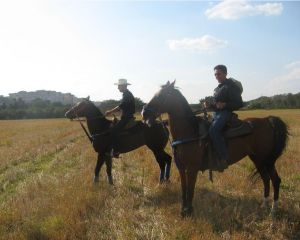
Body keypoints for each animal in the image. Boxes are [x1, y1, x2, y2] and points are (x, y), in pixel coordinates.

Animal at [142, 80, 288, 218]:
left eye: (162, 95)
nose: (144, 112)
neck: (190, 132)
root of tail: (268, 120)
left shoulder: (192, 168)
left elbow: (191, 190)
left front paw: (189, 212)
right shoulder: (181, 167)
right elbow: (184, 189)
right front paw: (183, 212)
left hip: (267, 160)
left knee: (275, 180)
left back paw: (273, 211)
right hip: (257, 159)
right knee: (266, 179)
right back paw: (264, 206)